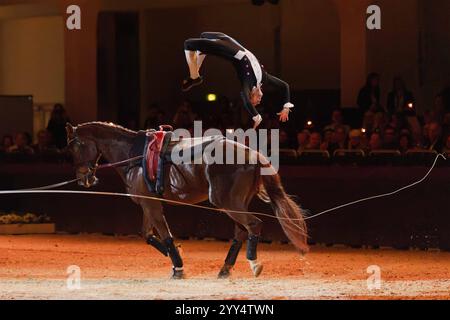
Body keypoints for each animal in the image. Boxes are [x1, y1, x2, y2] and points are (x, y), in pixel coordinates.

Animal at [65, 121, 308, 278]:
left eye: (75, 146)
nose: (84, 179)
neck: (135, 156)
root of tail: (252, 153)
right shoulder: (148, 203)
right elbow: (147, 235)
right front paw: (177, 256)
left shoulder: (151, 205)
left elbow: (165, 235)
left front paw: (179, 267)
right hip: (235, 203)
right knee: (241, 231)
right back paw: (225, 268)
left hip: (227, 203)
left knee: (253, 225)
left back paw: (254, 263)